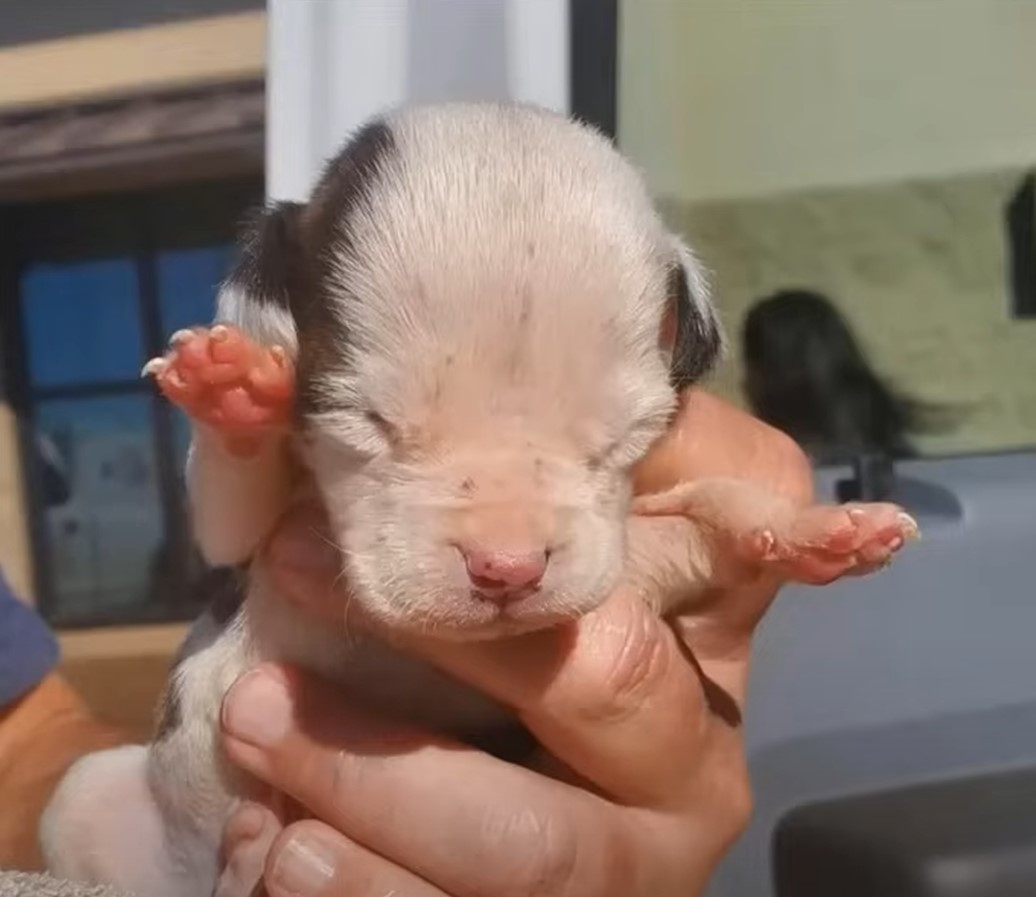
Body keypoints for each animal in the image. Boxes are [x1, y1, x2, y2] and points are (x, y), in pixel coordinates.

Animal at [38, 104, 915, 894]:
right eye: (370, 421)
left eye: (620, 439)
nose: (507, 567)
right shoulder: (240, 542)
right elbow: (230, 502)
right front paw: (232, 386)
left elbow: (713, 499)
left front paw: (815, 528)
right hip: (84, 795)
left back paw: (253, 850)